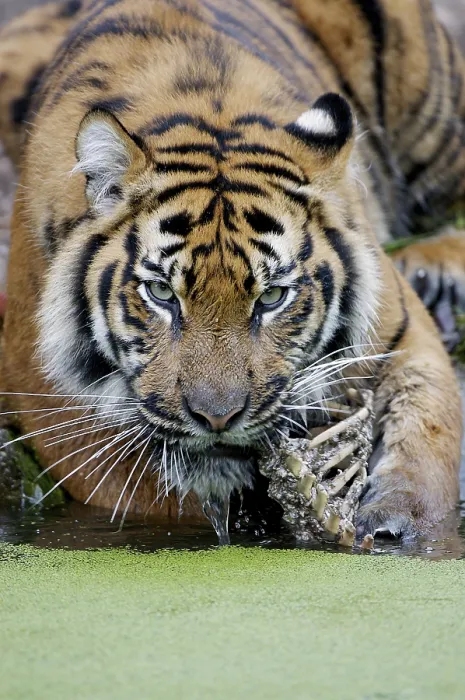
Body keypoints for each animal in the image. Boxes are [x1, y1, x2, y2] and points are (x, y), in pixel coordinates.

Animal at [0, 0, 463, 540]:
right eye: (162, 293)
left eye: (272, 297)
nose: (217, 418)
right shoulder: (47, 396)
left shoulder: (402, 331)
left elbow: (428, 432)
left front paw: (397, 521)